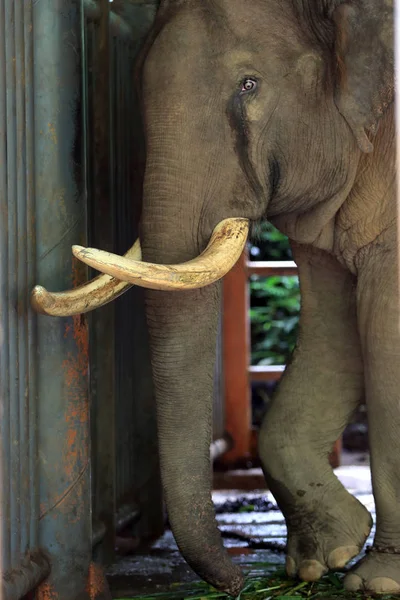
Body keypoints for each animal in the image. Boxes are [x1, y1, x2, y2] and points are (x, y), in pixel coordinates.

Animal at [32, 0, 398, 596]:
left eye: (250, 85)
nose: (237, 581)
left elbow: (385, 332)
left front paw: (375, 582)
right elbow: (332, 327)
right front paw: (320, 560)